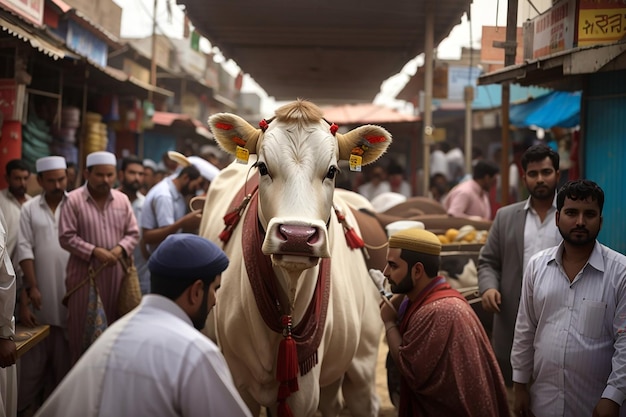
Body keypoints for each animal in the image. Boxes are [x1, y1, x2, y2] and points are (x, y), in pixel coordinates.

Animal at [199, 101, 390, 416]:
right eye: (262, 167)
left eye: (332, 170)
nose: (297, 236)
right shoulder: (239, 381)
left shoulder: (305, 388)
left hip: (363, 358)